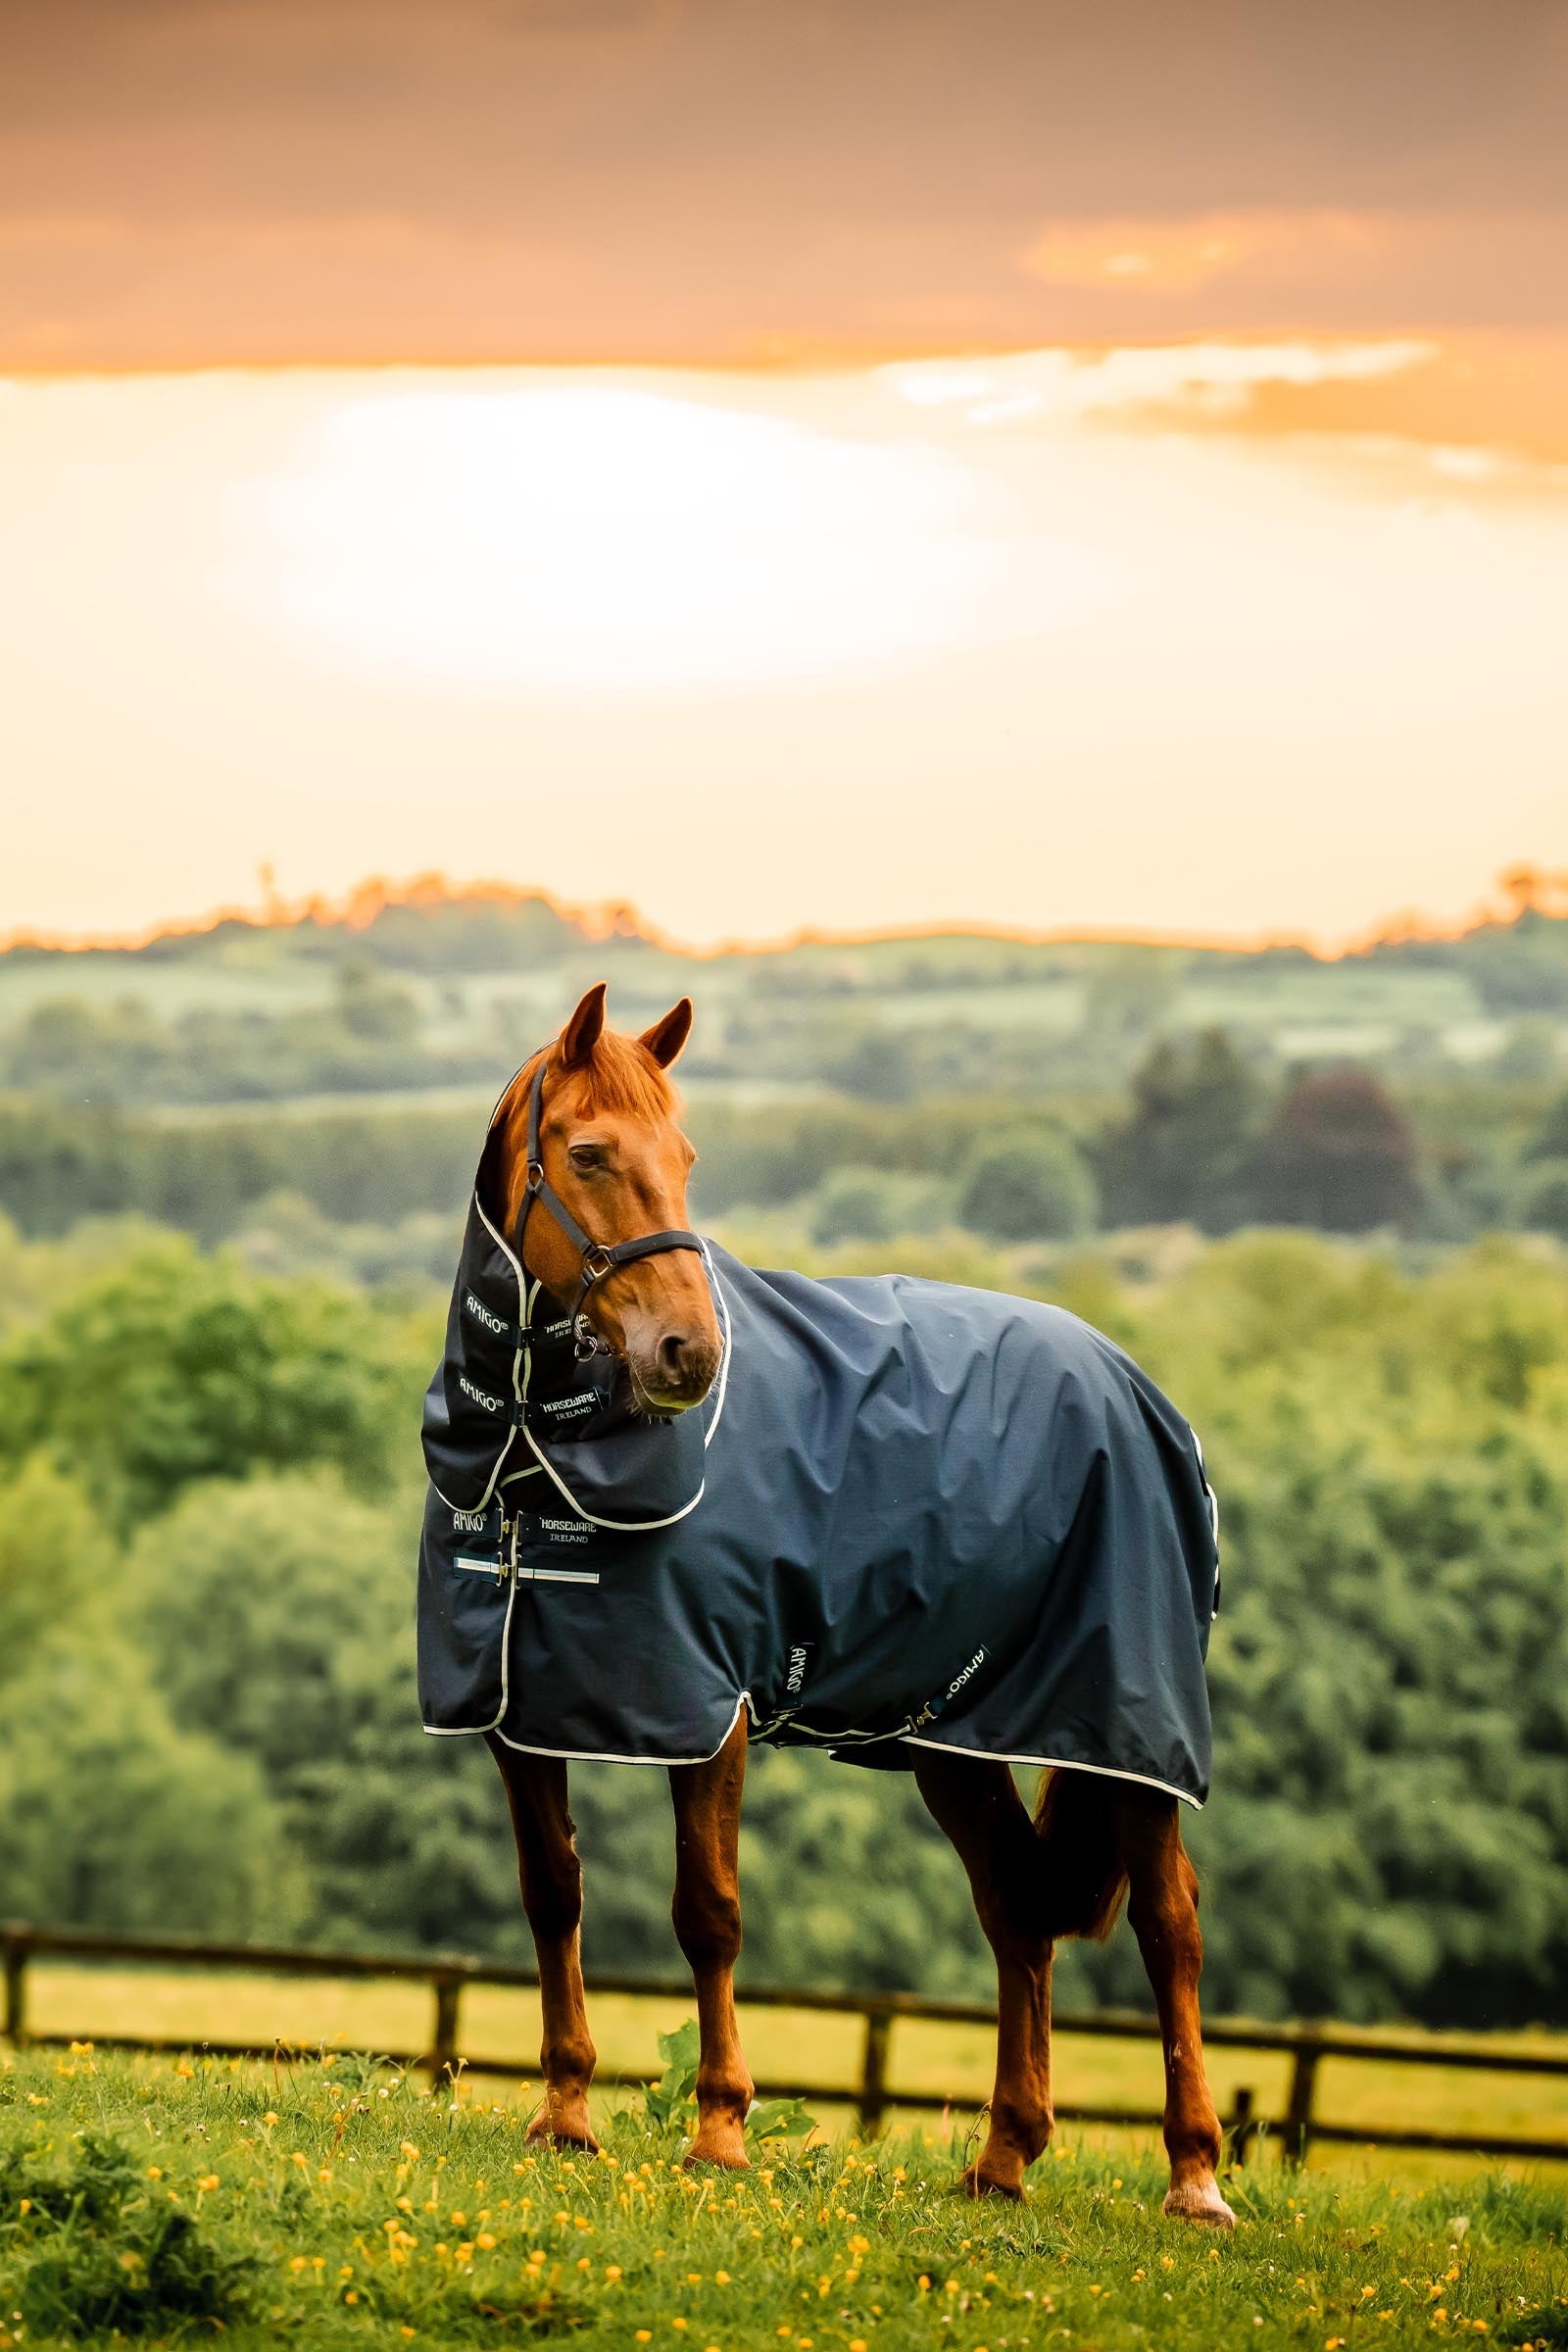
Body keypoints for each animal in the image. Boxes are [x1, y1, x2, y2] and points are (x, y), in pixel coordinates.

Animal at [420, 981, 1234, 2228]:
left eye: (686, 1157)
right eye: (590, 1153)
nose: (688, 1354)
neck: (530, 1459)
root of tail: (1137, 1389)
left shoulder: (708, 1713)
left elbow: (707, 1911)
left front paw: (719, 2131)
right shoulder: (520, 1713)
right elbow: (552, 1895)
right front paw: (563, 2115)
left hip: (1125, 1731)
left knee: (1169, 1926)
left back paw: (1194, 2177)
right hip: (957, 1741)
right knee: (1016, 1911)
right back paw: (1004, 2157)